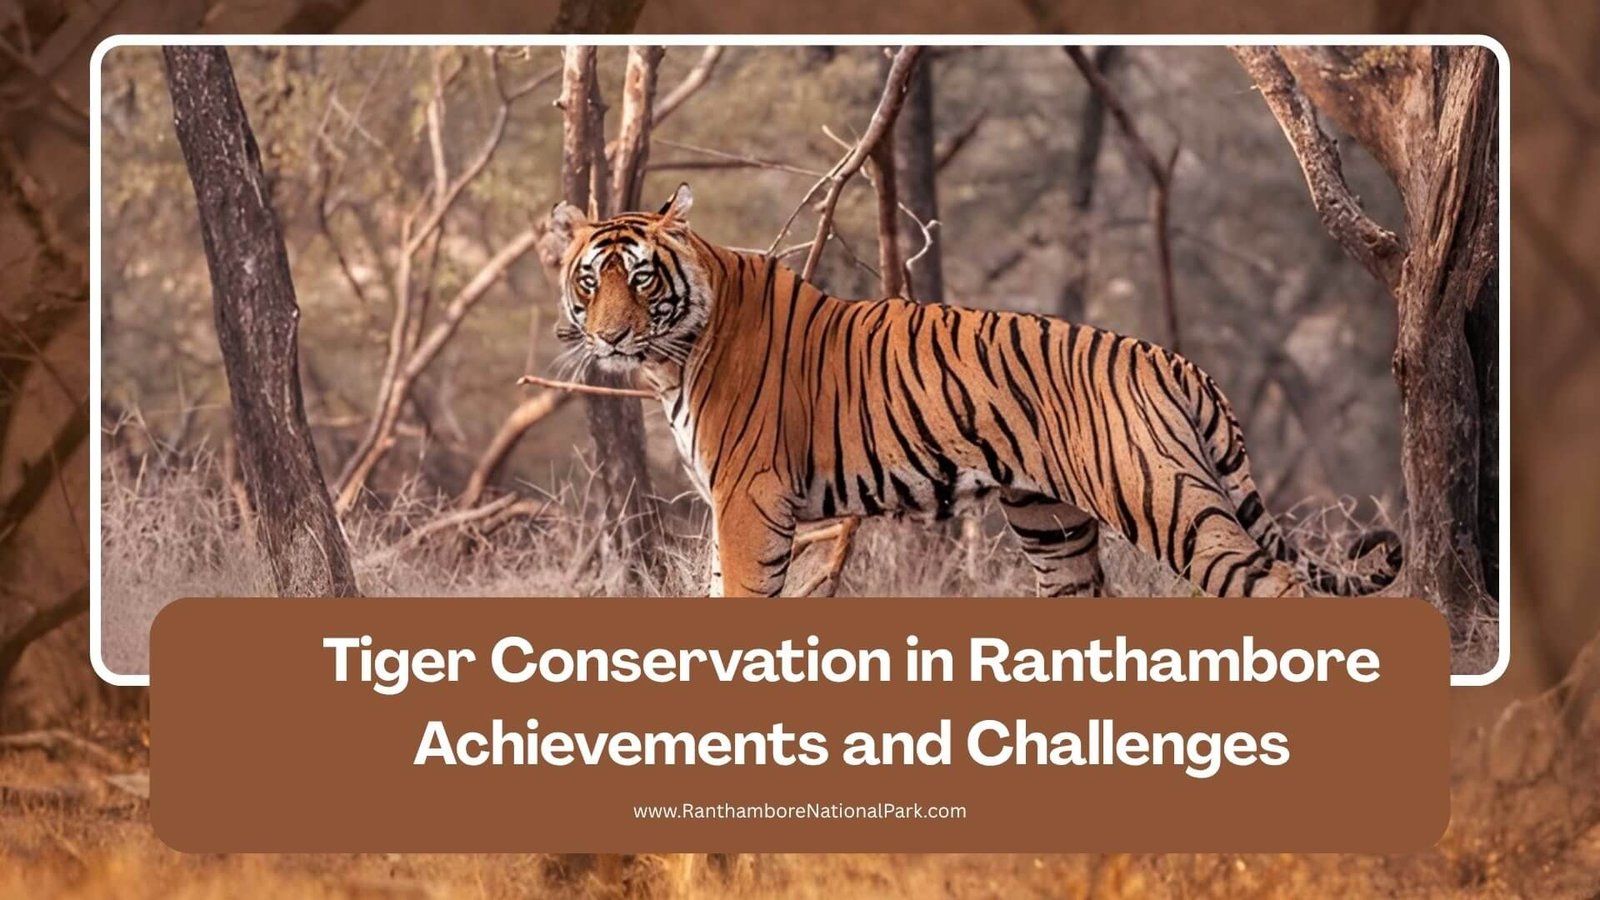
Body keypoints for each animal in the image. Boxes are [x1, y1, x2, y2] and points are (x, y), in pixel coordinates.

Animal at [549, 183, 1402, 599]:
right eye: (592, 281)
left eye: (642, 279)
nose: (611, 338)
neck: (675, 353)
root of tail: (1170, 359)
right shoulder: (730, 502)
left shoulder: (749, 496)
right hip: (1054, 525)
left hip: (1164, 498)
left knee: (1277, 584)